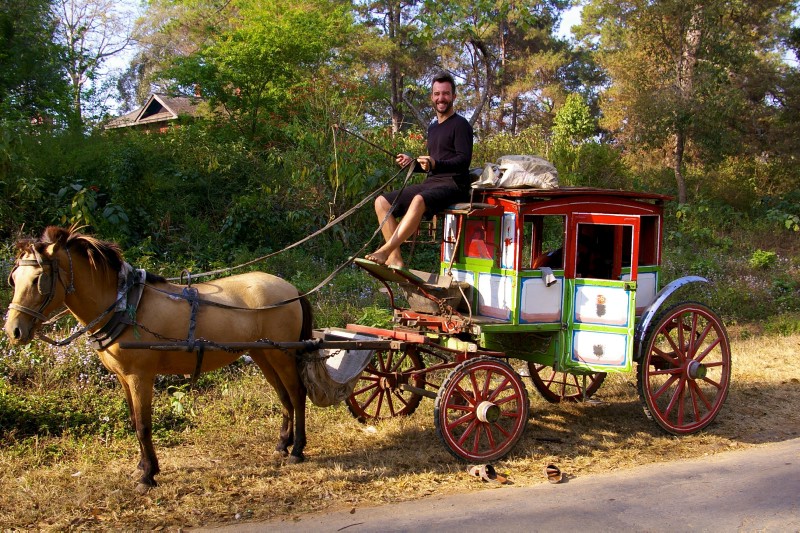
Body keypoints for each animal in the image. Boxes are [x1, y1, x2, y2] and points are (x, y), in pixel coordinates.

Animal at [4, 225, 314, 490]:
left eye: (38, 280)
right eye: (14, 279)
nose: (13, 330)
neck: (125, 306)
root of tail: (290, 289)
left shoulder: (140, 375)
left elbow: (143, 425)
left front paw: (148, 476)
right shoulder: (123, 377)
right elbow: (133, 421)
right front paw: (143, 467)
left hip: (283, 354)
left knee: (297, 394)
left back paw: (297, 449)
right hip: (264, 353)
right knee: (284, 396)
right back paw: (282, 445)